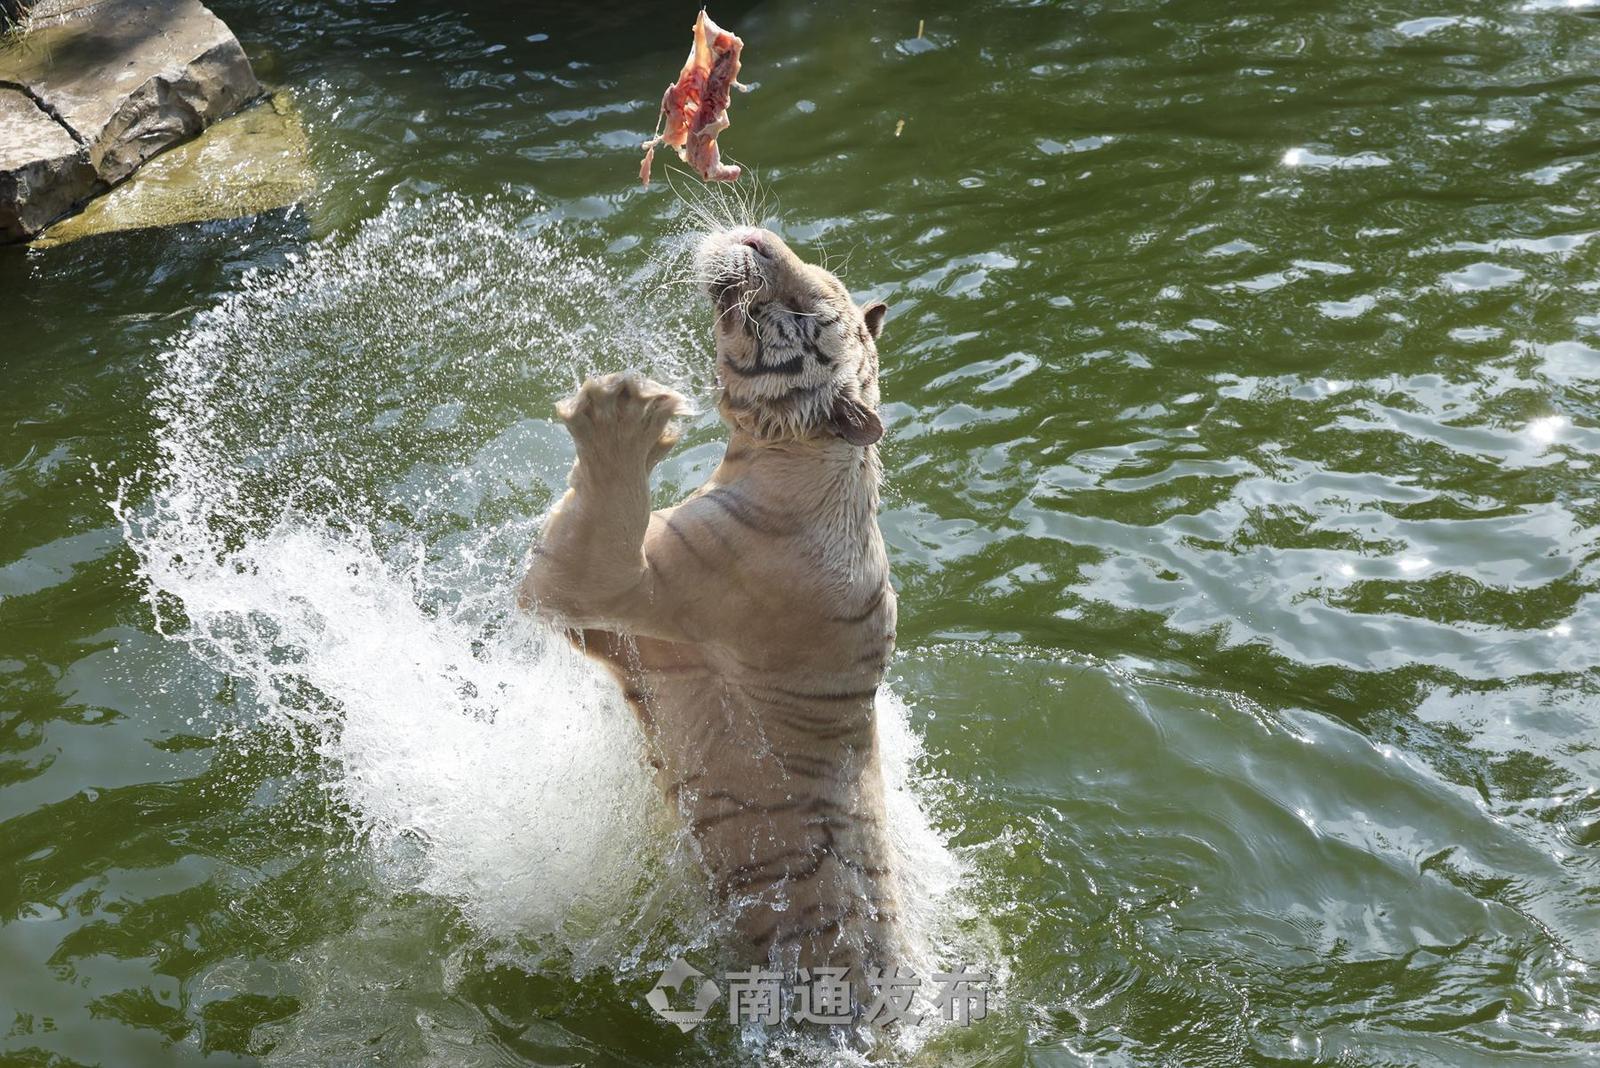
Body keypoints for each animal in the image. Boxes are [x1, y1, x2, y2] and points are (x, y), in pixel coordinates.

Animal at [519, 224, 900, 999]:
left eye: (805, 309)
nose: (758, 237)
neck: (783, 454)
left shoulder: (615, 587)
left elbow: (583, 542)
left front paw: (623, 412)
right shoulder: (609, 627)